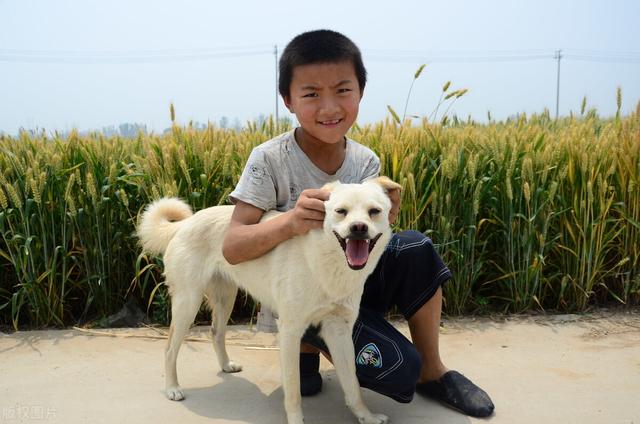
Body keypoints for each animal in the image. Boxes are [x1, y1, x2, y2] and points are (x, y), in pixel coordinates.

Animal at [137, 176, 400, 424]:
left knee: (216, 332)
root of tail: (185, 224)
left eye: (374, 211)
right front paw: (296, 421)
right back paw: (173, 388)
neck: (327, 260)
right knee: (170, 348)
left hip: (225, 297)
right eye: (341, 211)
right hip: (188, 302)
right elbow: (293, 391)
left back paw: (225, 365)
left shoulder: (339, 331)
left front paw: (366, 416)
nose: (358, 228)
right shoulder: (290, 331)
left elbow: (353, 384)